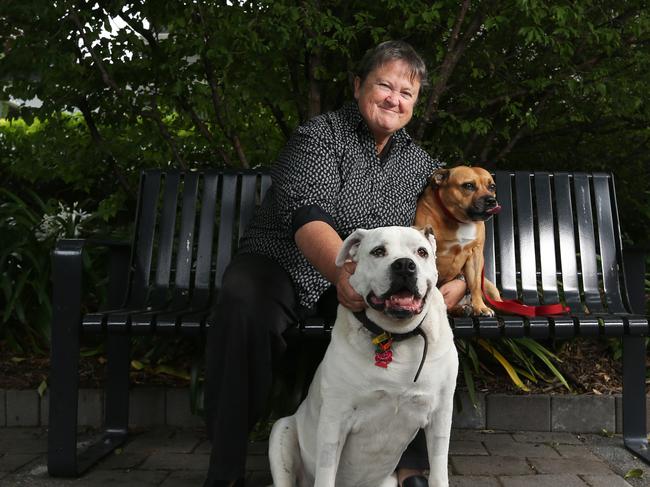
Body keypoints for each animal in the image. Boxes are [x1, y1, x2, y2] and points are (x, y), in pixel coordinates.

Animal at [268, 227, 456, 486]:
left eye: (421, 252)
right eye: (378, 251)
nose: (405, 265)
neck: (395, 336)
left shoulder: (440, 415)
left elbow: (438, 472)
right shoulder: (334, 420)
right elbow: (326, 472)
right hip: (281, 431)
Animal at [416, 166, 502, 316]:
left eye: (492, 187)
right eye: (468, 186)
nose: (491, 200)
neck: (459, 220)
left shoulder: (475, 255)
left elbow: (475, 284)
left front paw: (480, 307)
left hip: (489, 287)